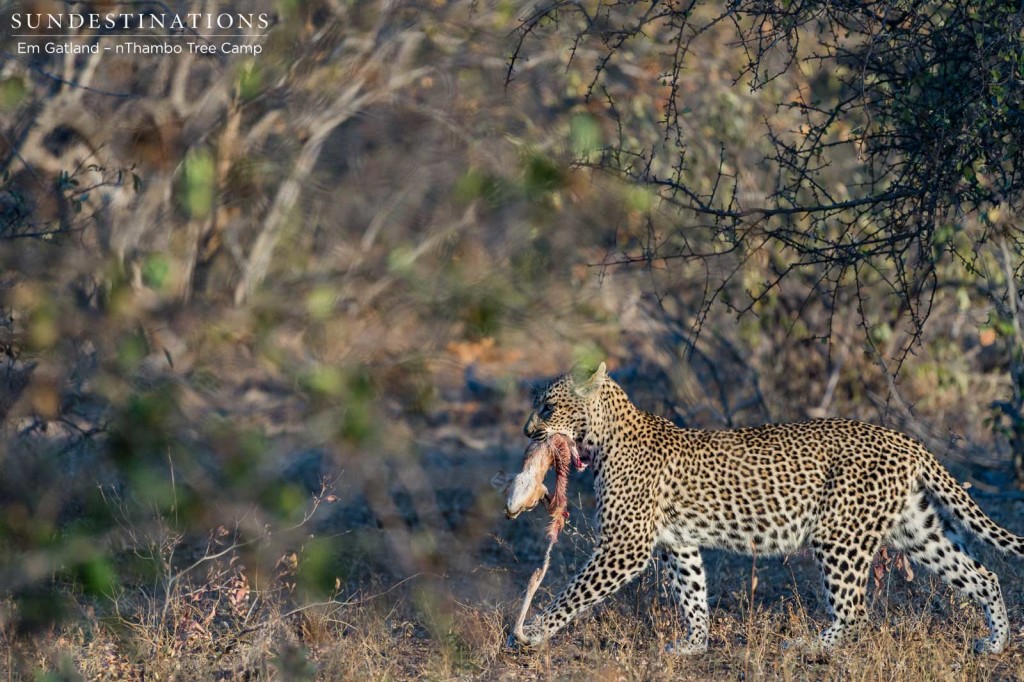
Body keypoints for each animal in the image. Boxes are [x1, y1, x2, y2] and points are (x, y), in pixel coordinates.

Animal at [512, 360, 1024, 655]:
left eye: (548, 406)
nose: (525, 431)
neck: (604, 436)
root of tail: (906, 439)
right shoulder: (678, 543)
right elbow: (693, 594)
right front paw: (694, 646)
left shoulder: (626, 544)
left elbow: (573, 591)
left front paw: (532, 632)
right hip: (914, 528)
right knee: (984, 574)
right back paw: (996, 642)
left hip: (840, 534)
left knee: (855, 611)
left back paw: (811, 645)